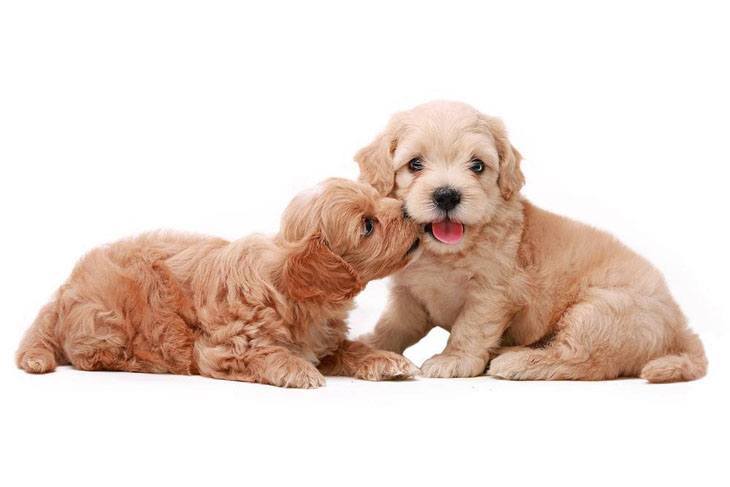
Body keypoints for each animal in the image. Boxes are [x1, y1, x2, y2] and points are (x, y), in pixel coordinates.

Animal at [17, 179, 420, 388]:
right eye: (367, 225)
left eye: (379, 198)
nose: (407, 210)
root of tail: (62, 290)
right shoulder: (225, 348)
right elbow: (266, 354)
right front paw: (297, 369)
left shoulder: (327, 341)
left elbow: (351, 348)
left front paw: (385, 360)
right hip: (108, 320)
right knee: (90, 357)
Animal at [354, 102, 704, 386]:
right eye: (415, 164)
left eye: (477, 165)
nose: (447, 195)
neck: (447, 253)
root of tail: (681, 328)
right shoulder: (408, 295)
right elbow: (393, 325)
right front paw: (368, 345)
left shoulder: (492, 293)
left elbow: (471, 327)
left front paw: (454, 358)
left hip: (598, 312)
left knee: (581, 360)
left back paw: (519, 360)